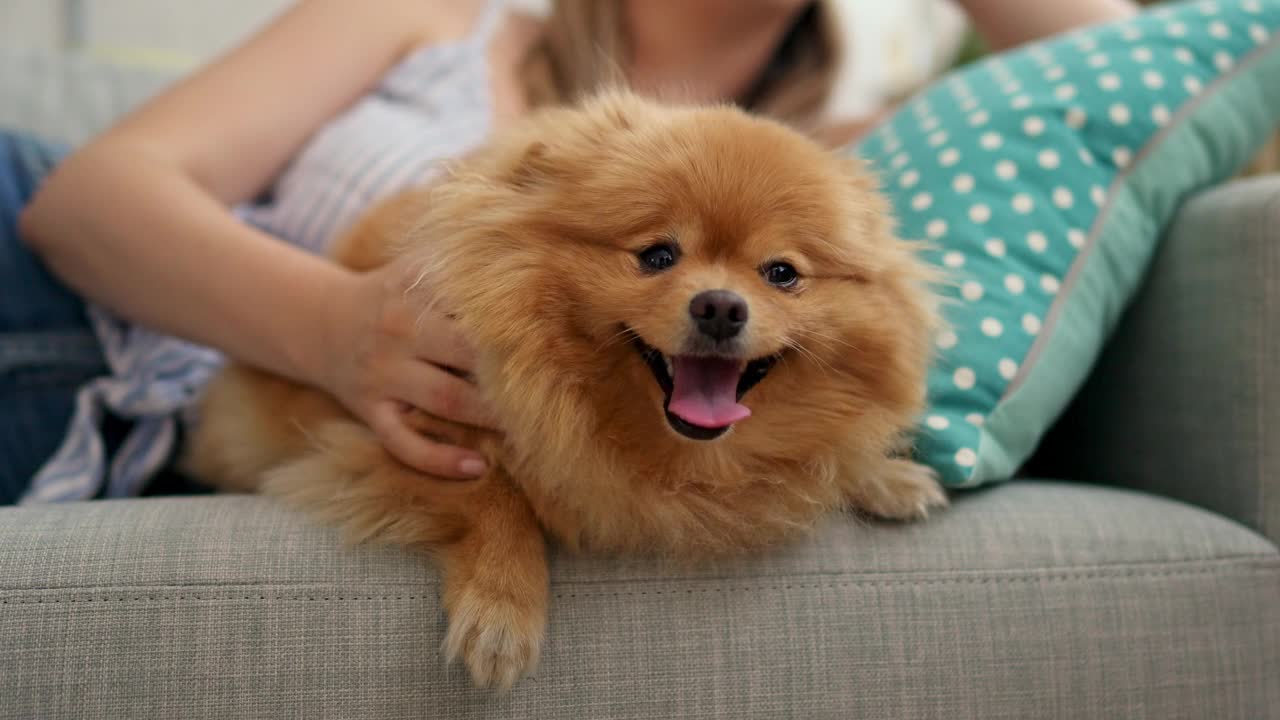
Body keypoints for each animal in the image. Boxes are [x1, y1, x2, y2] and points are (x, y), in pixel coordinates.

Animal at [189, 89, 952, 691]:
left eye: (782, 273)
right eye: (658, 255)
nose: (719, 306)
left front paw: (882, 475)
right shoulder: (383, 431)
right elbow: (492, 492)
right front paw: (502, 608)